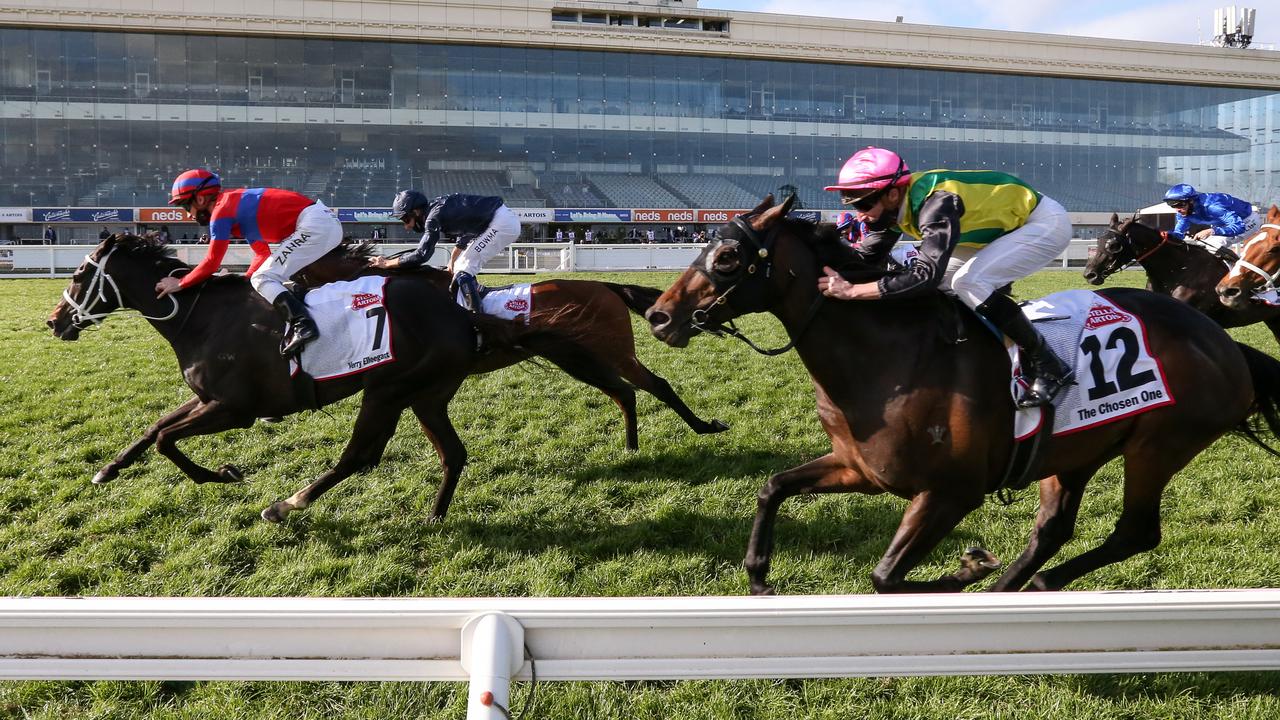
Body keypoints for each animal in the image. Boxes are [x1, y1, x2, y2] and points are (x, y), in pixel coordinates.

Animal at [48, 235, 529, 520]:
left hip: (389, 389)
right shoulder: (207, 398)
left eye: (79, 273)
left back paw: (286, 504)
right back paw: (435, 513)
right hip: (425, 395)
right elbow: (155, 427)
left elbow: (168, 439)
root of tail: (461, 314)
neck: (199, 317)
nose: (54, 321)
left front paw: (223, 474)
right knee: (452, 453)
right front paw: (108, 469)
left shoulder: (233, 409)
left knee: (359, 456)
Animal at [293, 240, 727, 448]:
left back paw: (703, 427)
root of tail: (605, 286)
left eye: (296, 275)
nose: (295, 321)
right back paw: (631, 447)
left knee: (656, 386)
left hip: (615, 351)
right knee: (625, 393)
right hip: (578, 357)